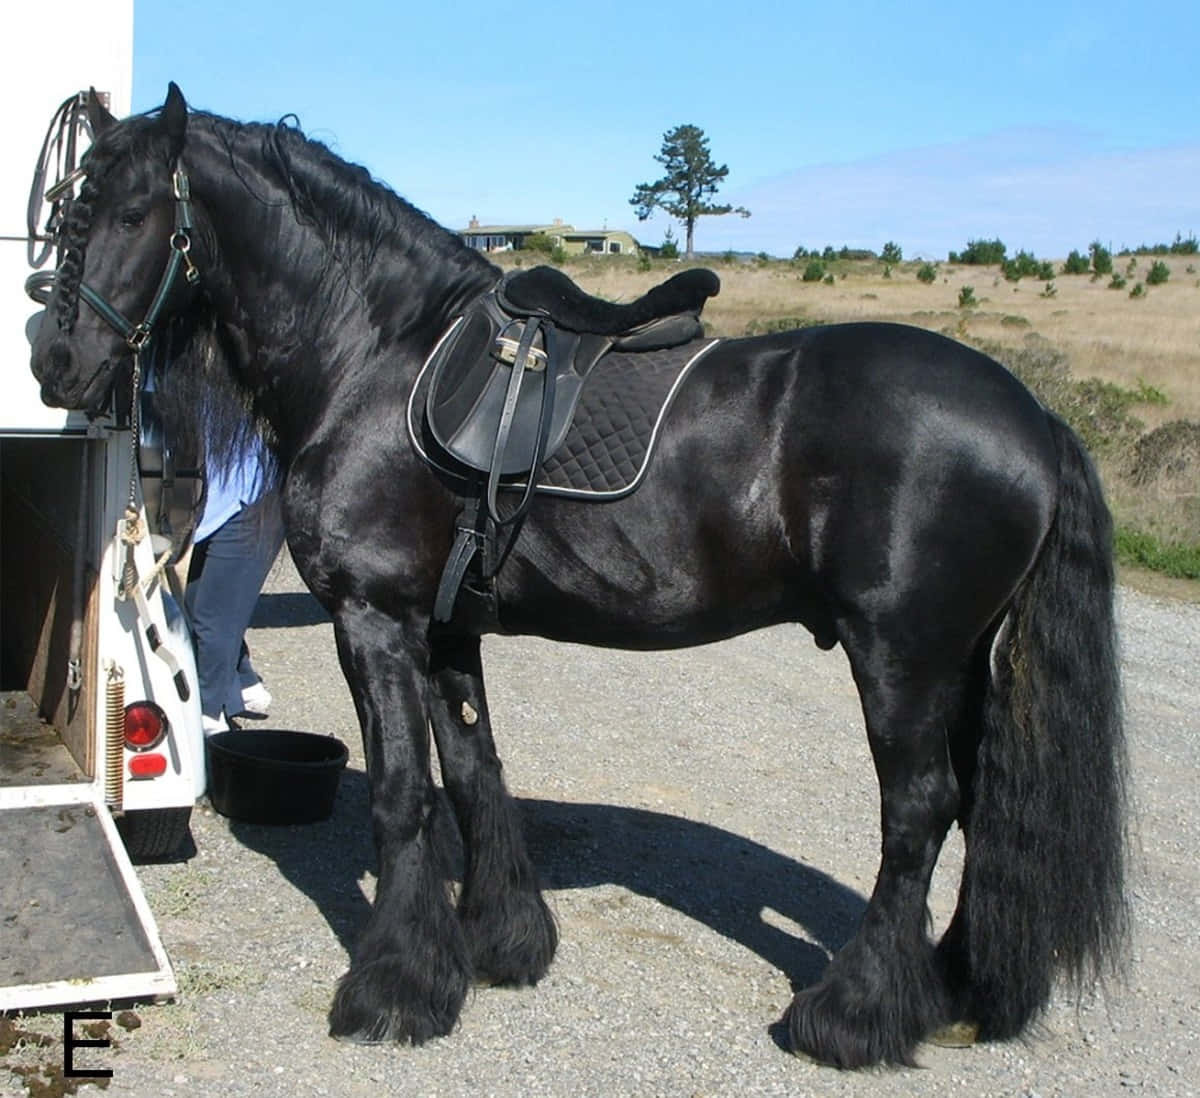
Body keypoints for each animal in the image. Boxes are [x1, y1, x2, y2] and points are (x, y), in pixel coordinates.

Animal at [29, 84, 1127, 1070]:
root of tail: (1032, 417)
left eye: (129, 212)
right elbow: (473, 772)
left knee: (919, 814)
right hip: (960, 667)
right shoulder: (444, 628)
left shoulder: (374, 619)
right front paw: (498, 946)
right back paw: (955, 992)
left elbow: (401, 794)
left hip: (902, 661)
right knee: (979, 803)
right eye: (70, 210)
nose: (53, 363)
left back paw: (852, 1018)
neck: (379, 355)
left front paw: (394, 989)